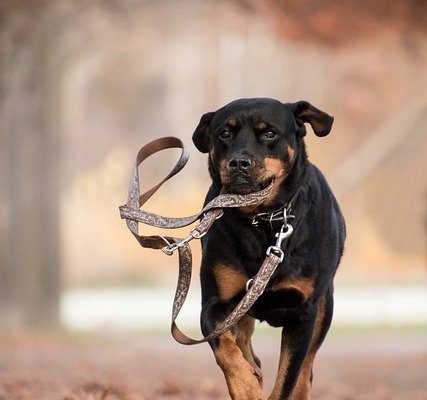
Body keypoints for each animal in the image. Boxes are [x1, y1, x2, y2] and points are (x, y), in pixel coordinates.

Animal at [192, 97, 346, 400]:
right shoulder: (215, 305)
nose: (239, 162)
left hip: (325, 306)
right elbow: (226, 350)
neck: (263, 220)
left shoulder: (303, 312)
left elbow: (289, 376)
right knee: (246, 350)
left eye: (270, 133)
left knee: (306, 369)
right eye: (224, 134)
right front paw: (246, 387)